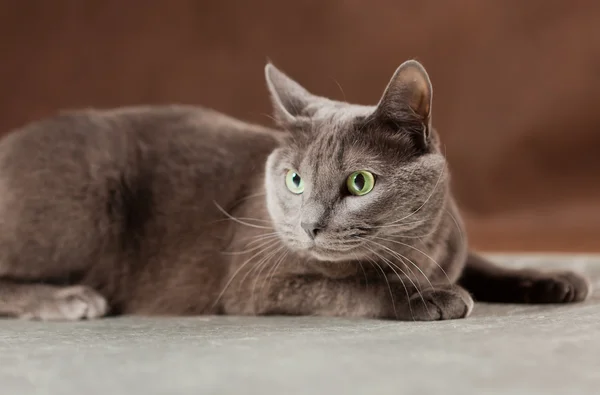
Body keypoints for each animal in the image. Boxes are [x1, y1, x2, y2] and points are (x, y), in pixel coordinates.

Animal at [0, 60, 592, 322]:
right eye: (295, 180)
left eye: (359, 182)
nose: (309, 225)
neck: (416, 251)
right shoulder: (258, 280)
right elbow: (354, 288)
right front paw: (428, 297)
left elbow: (484, 262)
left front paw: (552, 278)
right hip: (84, 202)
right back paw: (70, 299)